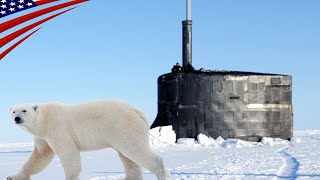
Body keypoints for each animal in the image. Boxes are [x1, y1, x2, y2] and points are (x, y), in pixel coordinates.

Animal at [7, 100, 170, 179]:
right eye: (14, 111)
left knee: (134, 150)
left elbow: (68, 152)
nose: (17, 118)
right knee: (129, 160)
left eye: (24, 110)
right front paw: (13, 176)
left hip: (123, 127)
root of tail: (138, 112)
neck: (44, 120)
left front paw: (71, 177)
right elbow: (40, 156)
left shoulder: (58, 128)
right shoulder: (42, 136)